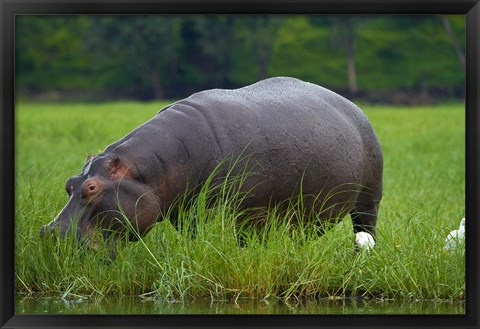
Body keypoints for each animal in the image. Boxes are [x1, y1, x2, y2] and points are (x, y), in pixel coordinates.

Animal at [40, 77, 382, 256]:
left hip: (369, 197)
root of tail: (353, 105)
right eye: (68, 184)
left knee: (365, 225)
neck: (149, 171)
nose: (50, 233)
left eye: (91, 187)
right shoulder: (185, 213)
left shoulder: (239, 211)